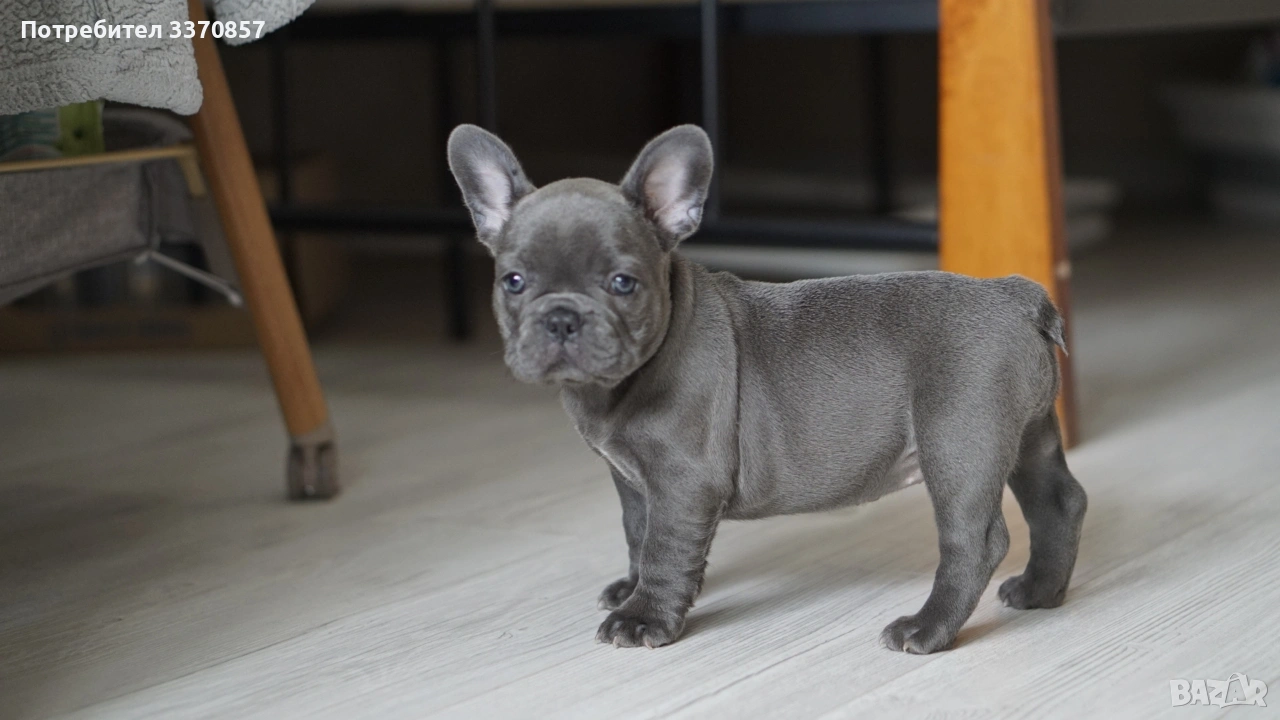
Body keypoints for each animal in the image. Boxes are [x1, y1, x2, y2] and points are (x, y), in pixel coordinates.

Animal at [447, 123, 1087, 654]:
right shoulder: (632, 482)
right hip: (1025, 431)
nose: (561, 318)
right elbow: (637, 534)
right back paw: (1039, 592)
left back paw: (926, 630)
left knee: (974, 541)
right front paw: (630, 587)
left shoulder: (682, 481)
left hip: (959, 442)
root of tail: (1014, 294)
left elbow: (665, 549)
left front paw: (643, 617)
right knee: (1058, 501)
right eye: (513, 282)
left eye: (623, 283)